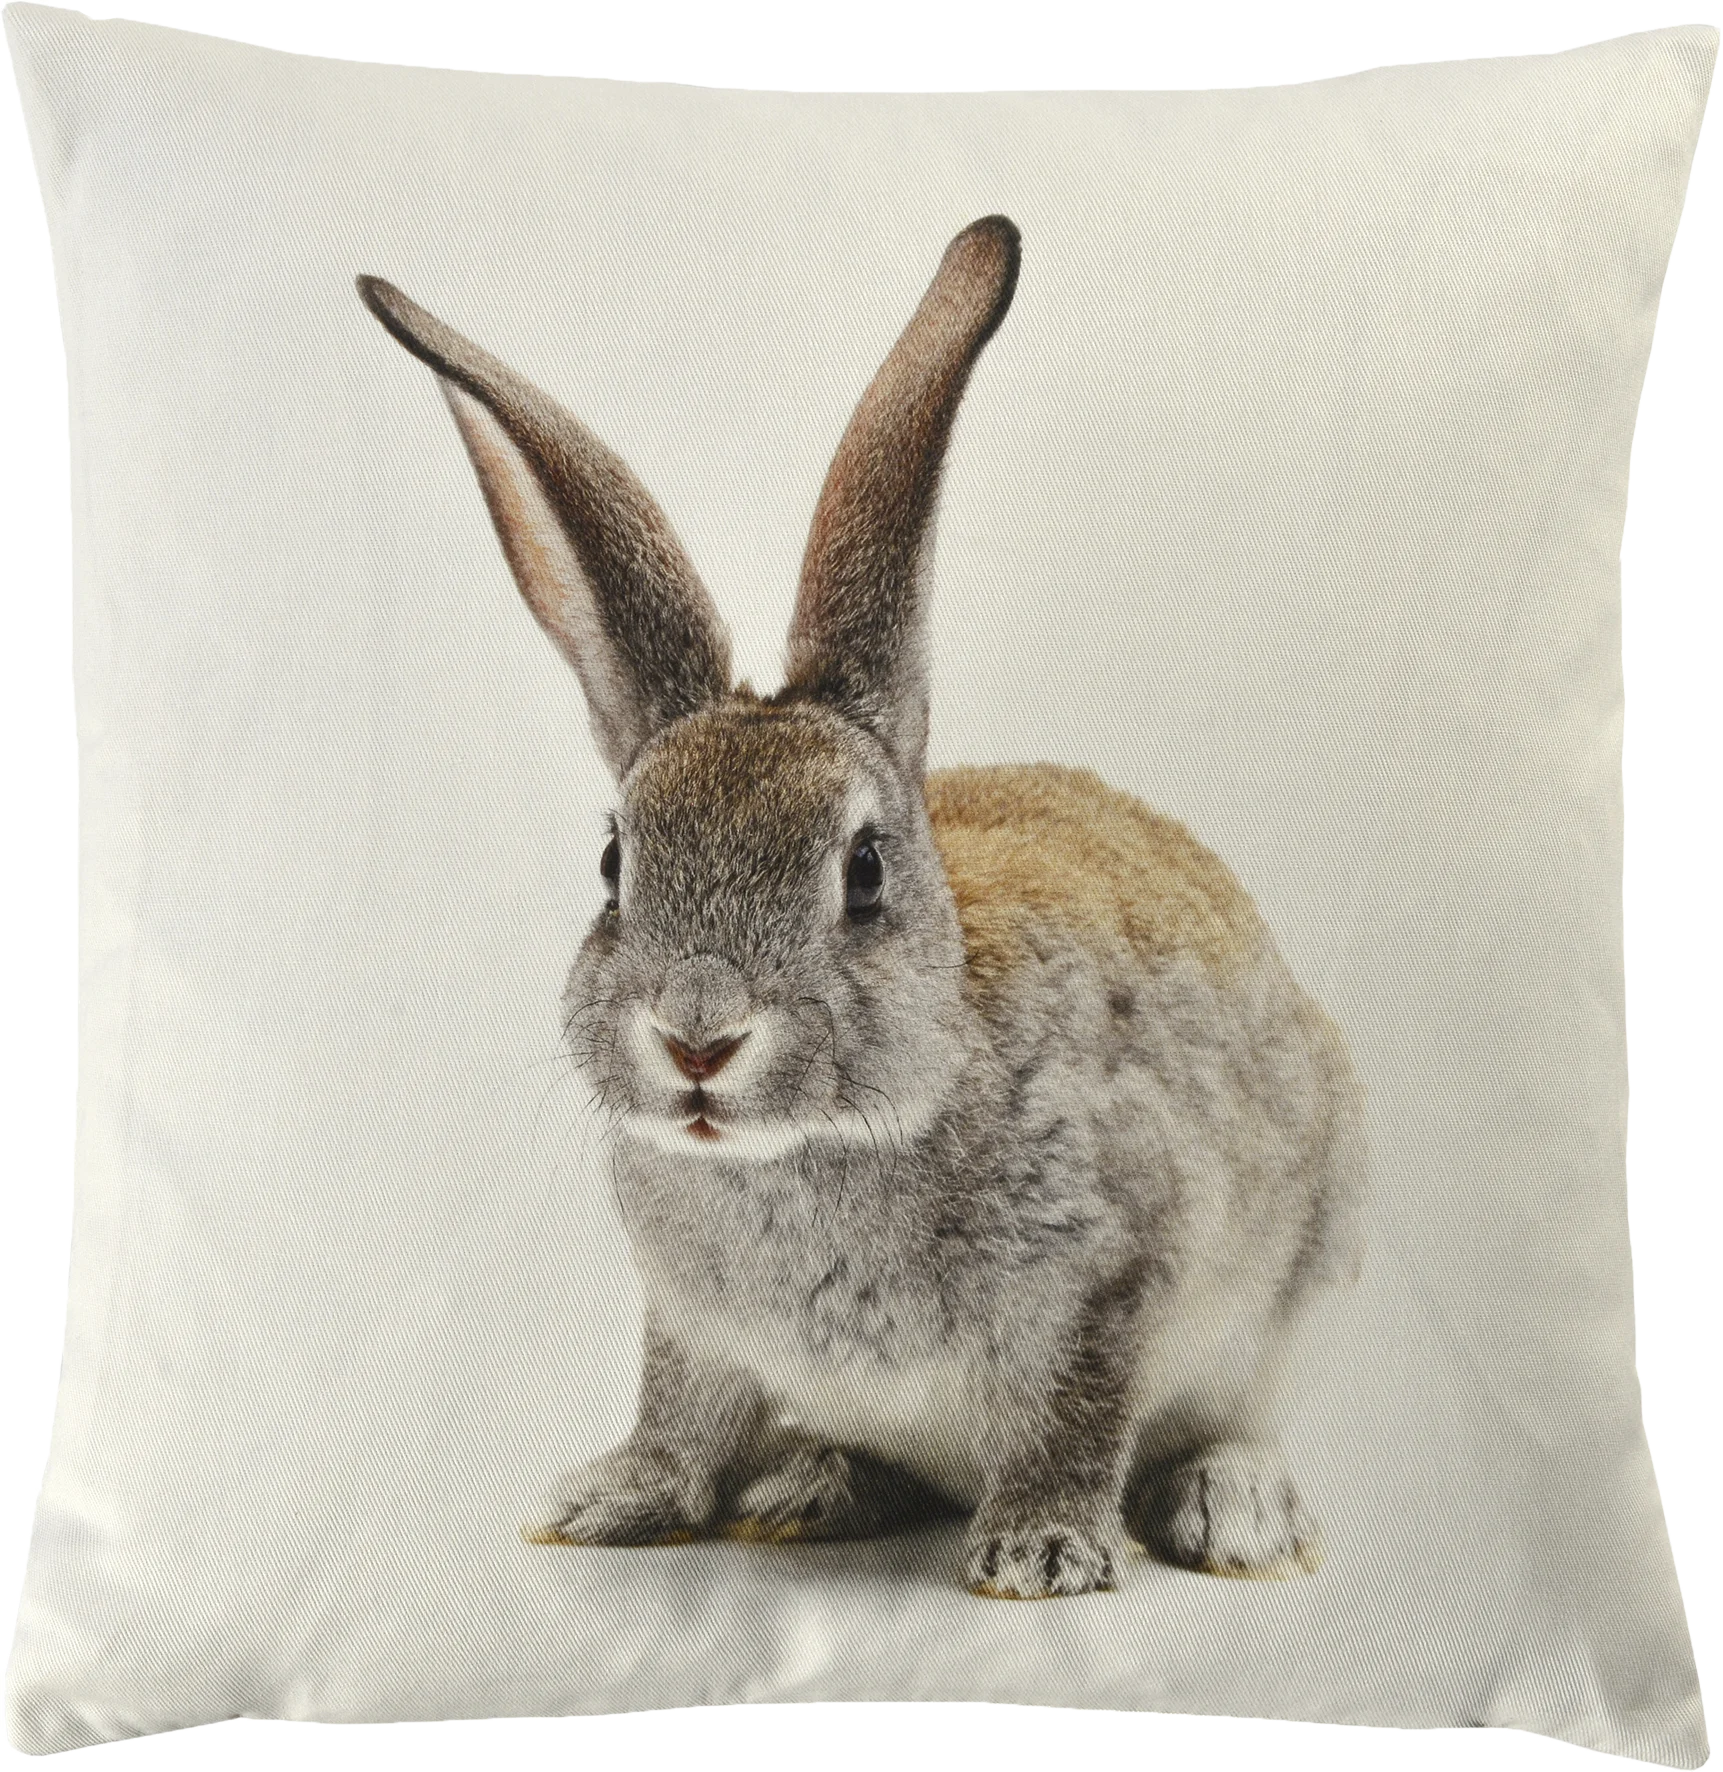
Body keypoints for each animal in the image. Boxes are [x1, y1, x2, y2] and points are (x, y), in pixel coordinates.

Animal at [357, 215, 1366, 1600]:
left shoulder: (1113, 1274)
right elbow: (678, 1409)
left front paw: (1040, 1551)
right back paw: (812, 1483)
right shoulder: (689, 1324)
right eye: (616, 863)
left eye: (866, 870)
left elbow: (1076, 1416)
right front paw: (610, 1496)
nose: (698, 1034)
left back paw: (1234, 1509)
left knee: (1240, 1417)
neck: (812, 1147)